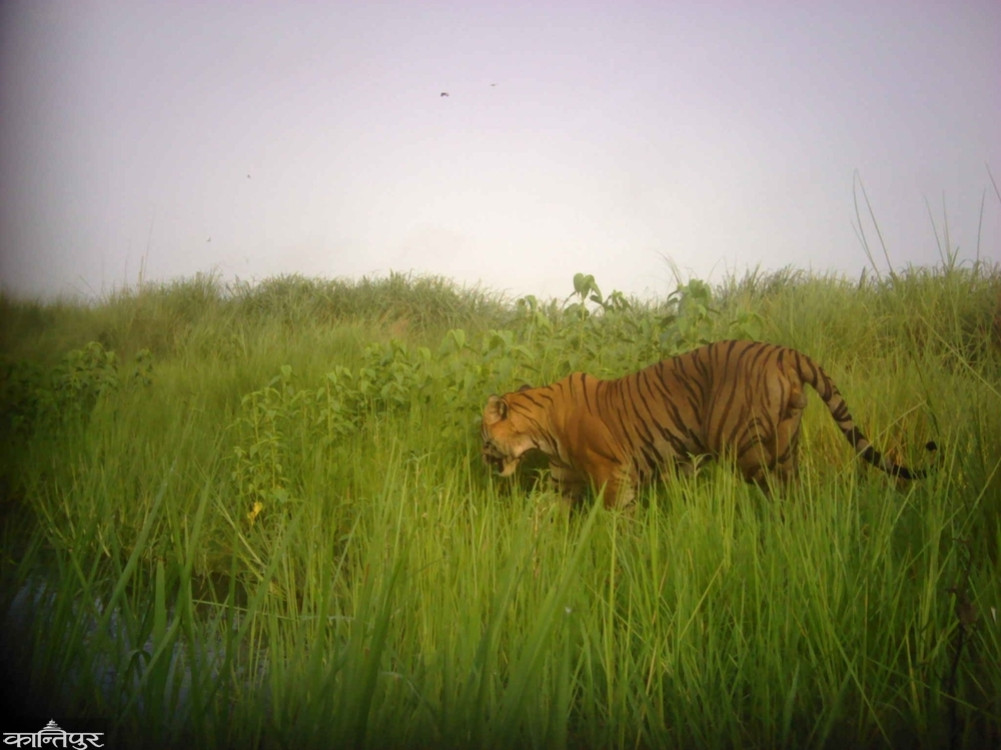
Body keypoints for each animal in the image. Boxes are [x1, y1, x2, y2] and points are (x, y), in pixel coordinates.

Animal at [481, 340, 936, 508]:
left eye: (484, 437)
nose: (484, 459)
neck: (541, 431)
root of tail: (785, 351)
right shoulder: (564, 481)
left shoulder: (613, 475)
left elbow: (618, 522)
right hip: (785, 444)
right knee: (793, 494)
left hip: (749, 451)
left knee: (774, 495)